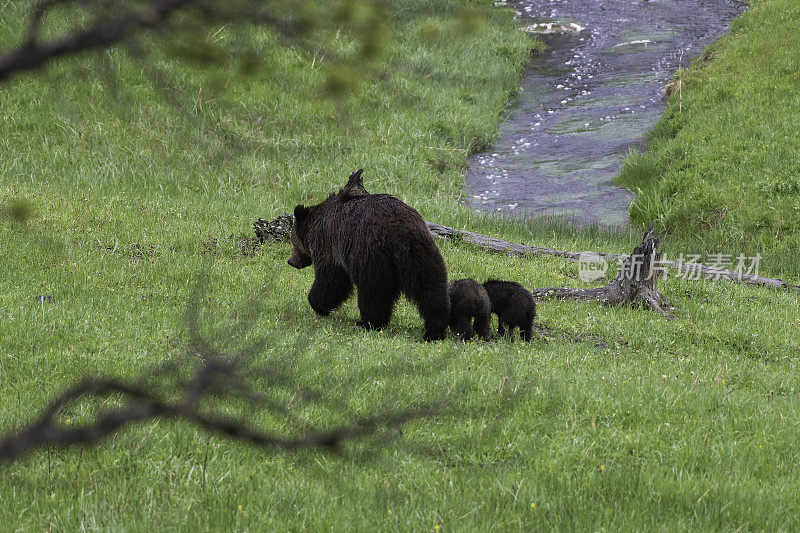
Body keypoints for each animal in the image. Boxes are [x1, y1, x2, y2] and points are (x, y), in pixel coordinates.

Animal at [288, 168, 450, 338]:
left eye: (293, 242)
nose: (291, 261)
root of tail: (400, 230)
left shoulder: (329, 244)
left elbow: (332, 279)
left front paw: (317, 303)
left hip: (369, 253)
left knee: (373, 292)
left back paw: (368, 322)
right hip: (422, 252)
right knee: (431, 288)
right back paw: (435, 328)